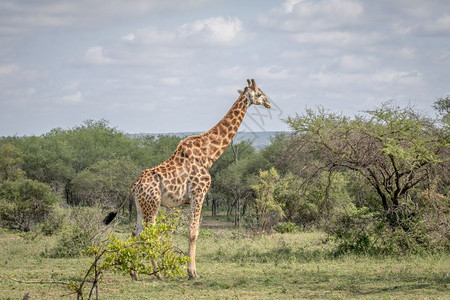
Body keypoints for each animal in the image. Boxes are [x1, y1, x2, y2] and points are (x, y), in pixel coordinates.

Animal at [104, 78, 270, 278]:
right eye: (259, 93)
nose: (269, 103)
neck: (208, 156)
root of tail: (134, 185)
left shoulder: (191, 199)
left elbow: (191, 232)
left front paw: (191, 271)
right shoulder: (199, 194)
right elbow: (193, 233)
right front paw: (192, 273)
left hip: (140, 206)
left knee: (135, 233)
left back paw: (134, 273)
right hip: (152, 205)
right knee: (147, 234)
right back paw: (158, 273)